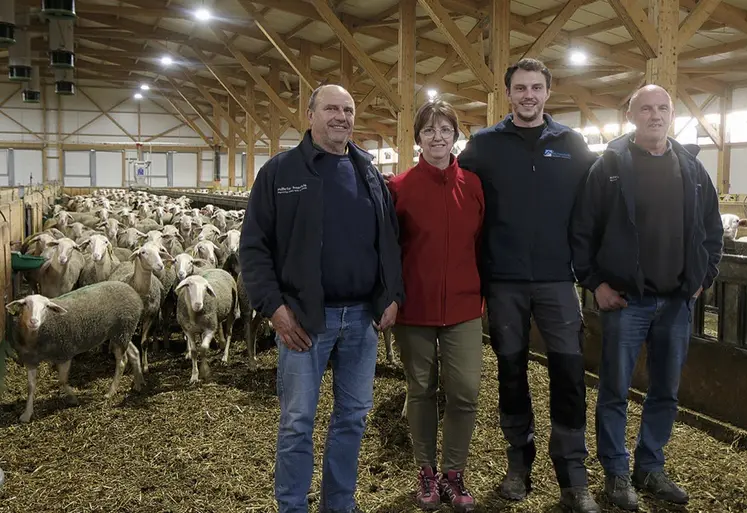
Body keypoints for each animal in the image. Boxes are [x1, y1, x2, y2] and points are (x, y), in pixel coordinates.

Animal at [5, 282, 146, 422]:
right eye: (25, 304)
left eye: (46, 307)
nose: (34, 321)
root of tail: (131, 290)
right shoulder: (30, 360)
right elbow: (30, 387)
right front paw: (26, 414)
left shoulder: (65, 353)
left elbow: (62, 380)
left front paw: (73, 398)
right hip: (122, 333)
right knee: (134, 353)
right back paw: (138, 383)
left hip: (122, 329)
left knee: (121, 362)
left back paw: (110, 392)